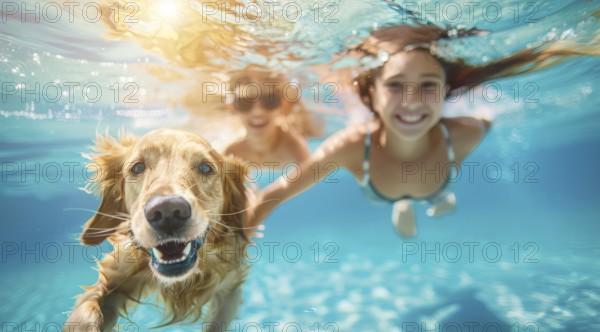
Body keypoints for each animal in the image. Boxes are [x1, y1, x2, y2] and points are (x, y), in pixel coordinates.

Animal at [66, 128, 251, 330]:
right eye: (137, 167)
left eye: (205, 167)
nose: (168, 212)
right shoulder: (112, 278)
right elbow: (87, 313)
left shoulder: (230, 287)